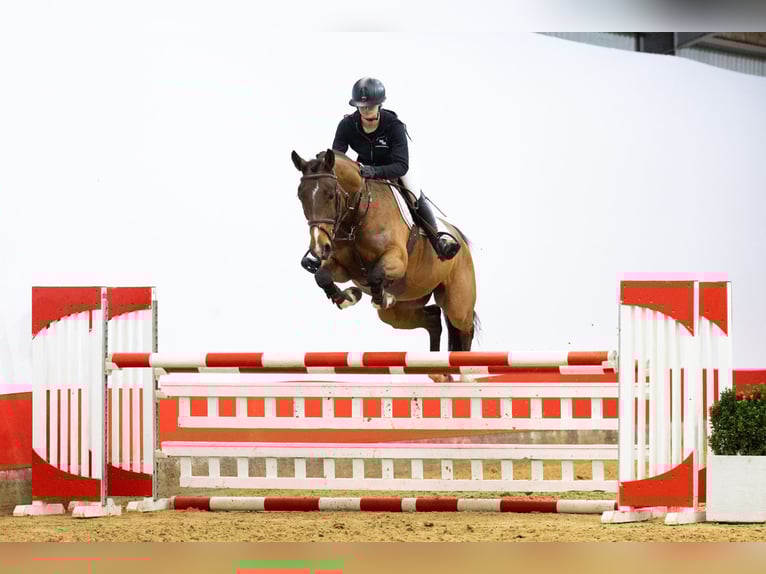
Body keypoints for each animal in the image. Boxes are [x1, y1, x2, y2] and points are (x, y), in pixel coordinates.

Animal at [291, 148, 480, 381]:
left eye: (331, 194)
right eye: (301, 196)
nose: (319, 248)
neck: (356, 218)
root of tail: (459, 239)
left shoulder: (396, 259)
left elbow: (375, 275)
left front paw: (381, 297)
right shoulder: (340, 268)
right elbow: (322, 276)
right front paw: (349, 297)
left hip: (457, 304)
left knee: (464, 329)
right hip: (401, 310)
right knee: (433, 318)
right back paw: (438, 373)